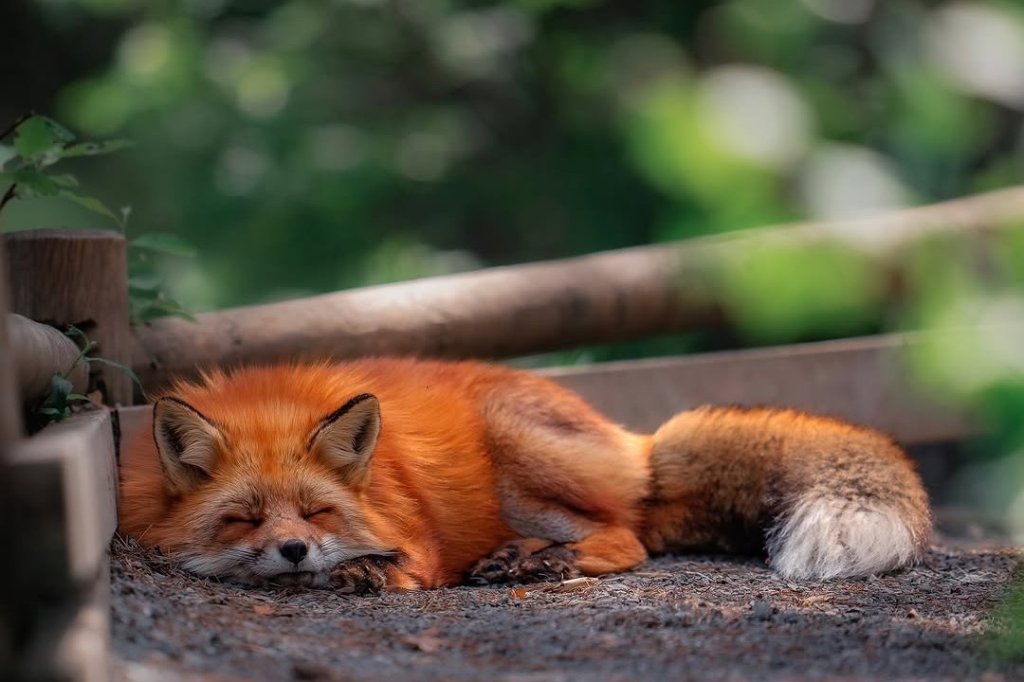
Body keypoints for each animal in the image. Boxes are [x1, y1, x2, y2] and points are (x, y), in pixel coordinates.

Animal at [118, 358, 932, 592]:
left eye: (316, 513)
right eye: (245, 517)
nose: (293, 551)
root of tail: (634, 440)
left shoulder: (415, 535)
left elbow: (402, 563)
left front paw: (358, 573)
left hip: (516, 450)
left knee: (628, 538)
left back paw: (541, 562)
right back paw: (517, 558)